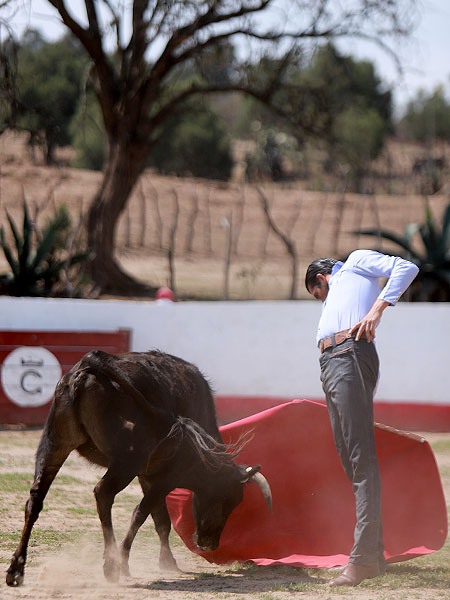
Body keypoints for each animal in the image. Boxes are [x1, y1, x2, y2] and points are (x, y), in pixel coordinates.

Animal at [6, 352, 270, 584]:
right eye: (228, 501)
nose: (209, 544)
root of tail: (87, 369)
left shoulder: (146, 474)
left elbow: (160, 519)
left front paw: (166, 562)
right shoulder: (166, 477)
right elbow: (142, 513)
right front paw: (124, 562)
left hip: (54, 444)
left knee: (35, 500)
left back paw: (16, 570)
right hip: (126, 461)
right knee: (103, 493)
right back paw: (110, 566)